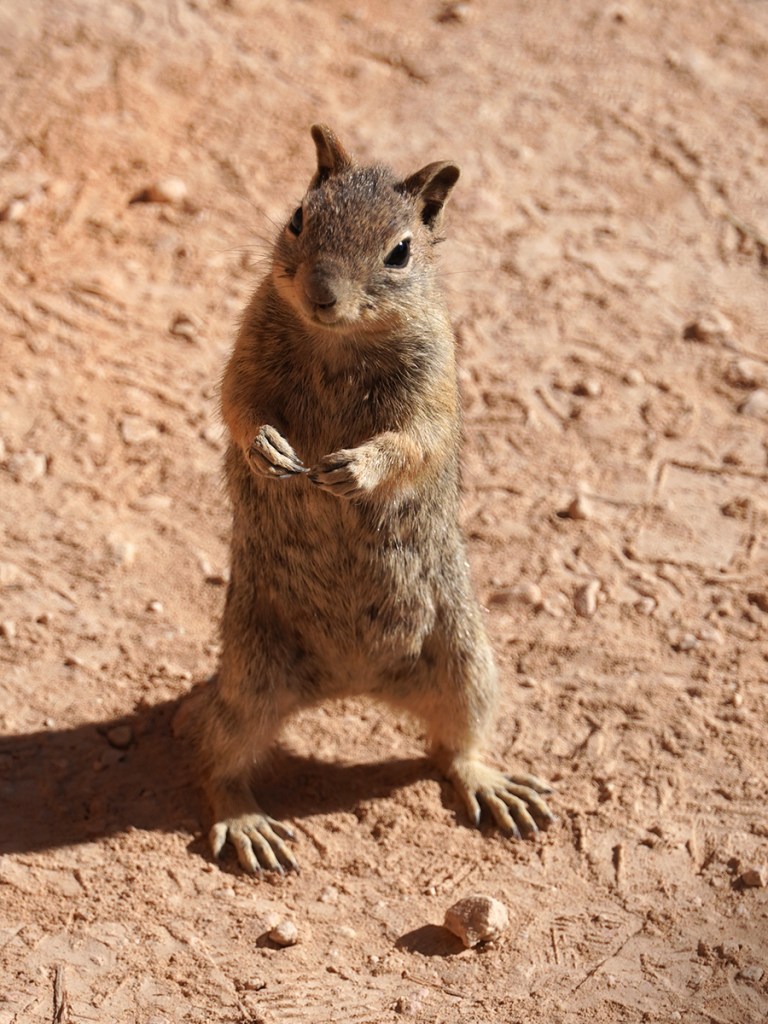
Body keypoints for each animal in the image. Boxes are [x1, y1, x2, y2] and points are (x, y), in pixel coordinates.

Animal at [198, 125, 555, 873]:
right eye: (298, 217)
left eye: (400, 252)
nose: (321, 293)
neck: (337, 339)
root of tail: (349, 682)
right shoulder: (245, 349)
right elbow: (238, 404)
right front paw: (267, 448)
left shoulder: (435, 380)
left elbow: (417, 440)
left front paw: (359, 469)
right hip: (249, 677)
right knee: (219, 759)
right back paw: (244, 820)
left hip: (466, 667)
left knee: (456, 747)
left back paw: (493, 786)